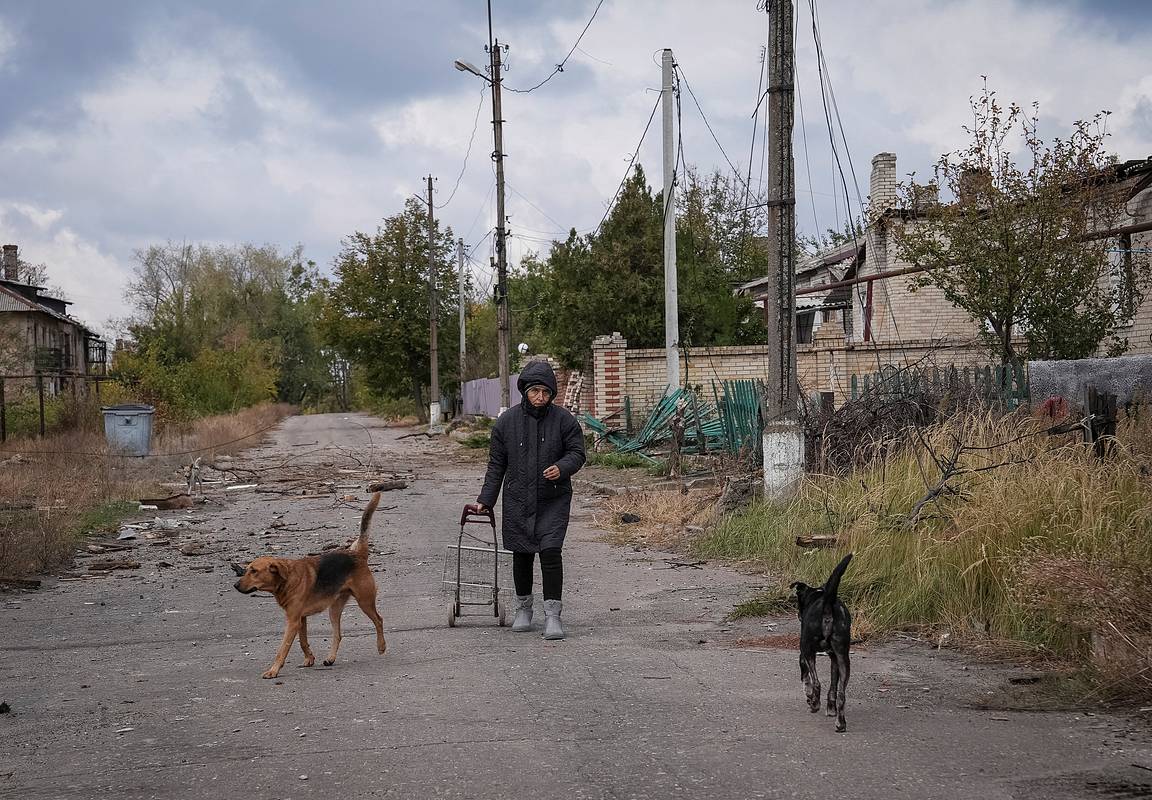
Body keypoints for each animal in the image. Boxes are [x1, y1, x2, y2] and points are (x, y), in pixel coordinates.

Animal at [232, 495, 387, 677]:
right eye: (248, 570)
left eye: (254, 571)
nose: (235, 585)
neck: (287, 580)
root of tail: (358, 554)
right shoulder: (300, 618)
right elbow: (303, 641)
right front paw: (309, 658)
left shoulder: (293, 621)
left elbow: (283, 648)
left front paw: (273, 670)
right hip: (334, 609)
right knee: (338, 634)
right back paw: (330, 658)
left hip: (365, 601)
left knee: (379, 620)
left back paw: (381, 646)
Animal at [792, 557, 857, 733]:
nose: (799, 614)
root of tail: (828, 603)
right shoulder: (834, 658)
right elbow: (833, 688)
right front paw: (831, 709)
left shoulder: (803, 653)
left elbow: (806, 678)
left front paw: (809, 697)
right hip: (843, 658)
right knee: (841, 694)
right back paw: (840, 723)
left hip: (808, 650)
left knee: (817, 683)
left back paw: (815, 704)